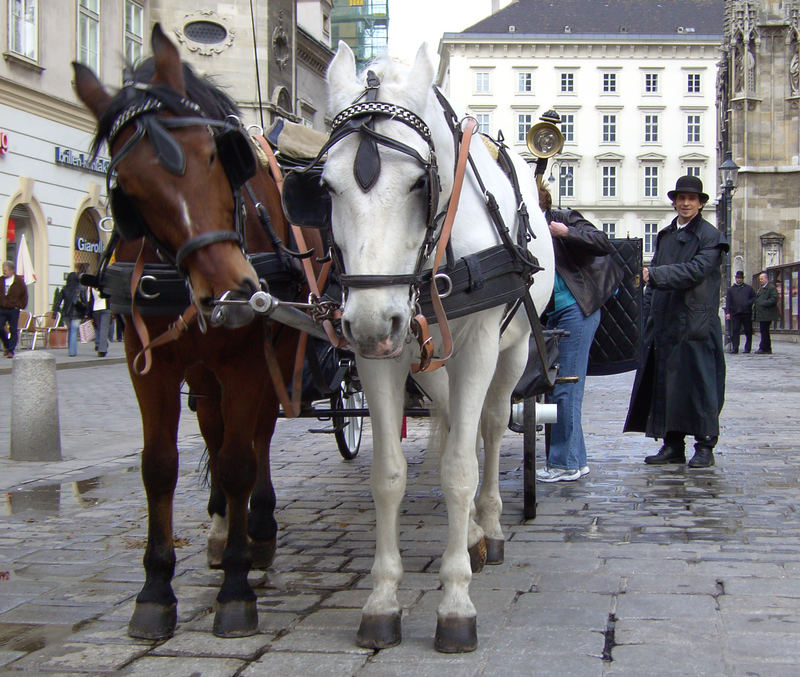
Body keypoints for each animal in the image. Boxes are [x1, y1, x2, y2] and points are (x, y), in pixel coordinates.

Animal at [71, 25, 316, 640]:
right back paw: (223, 527)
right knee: (213, 427)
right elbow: (159, 466)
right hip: (205, 370)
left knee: (254, 437)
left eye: (214, 156)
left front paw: (235, 589)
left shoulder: (250, 359)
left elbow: (237, 461)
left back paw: (256, 529)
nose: (231, 289)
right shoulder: (149, 360)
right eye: (130, 188)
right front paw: (156, 588)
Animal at [322, 41, 552, 648]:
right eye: (325, 187)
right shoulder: (380, 354)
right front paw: (382, 599)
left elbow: (460, 470)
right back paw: (469, 530)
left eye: (416, 185)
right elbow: (390, 474)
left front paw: (455, 602)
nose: (371, 322)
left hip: (513, 350)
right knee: (451, 421)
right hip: (426, 359)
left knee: (488, 429)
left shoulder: (478, 347)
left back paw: (488, 527)